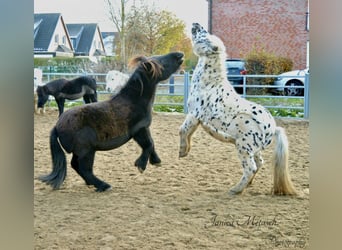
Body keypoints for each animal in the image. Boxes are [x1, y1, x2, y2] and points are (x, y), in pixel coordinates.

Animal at [38, 50, 184, 191]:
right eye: (161, 62)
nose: (180, 55)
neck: (133, 101)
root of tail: (57, 126)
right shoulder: (138, 131)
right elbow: (148, 145)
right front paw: (141, 165)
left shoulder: (144, 129)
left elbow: (152, 143)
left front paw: (156, 160)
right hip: (87, 151)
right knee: (84, 169)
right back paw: (103, 185)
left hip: (80, 152)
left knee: (76, 166)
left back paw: (92, 184)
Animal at [179, 23, 296, 195]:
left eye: (203, 37)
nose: (196, 24)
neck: (208, 84)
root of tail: (273, 129)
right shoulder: (198, 119)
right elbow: (189, 133)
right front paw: (186, 150)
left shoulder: (194, 114)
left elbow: (182, 130)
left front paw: (181, 152)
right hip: (254, 150)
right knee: (259, 164)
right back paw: (247, 185)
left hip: (244, 148)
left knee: (250, 168)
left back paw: (236, 189)